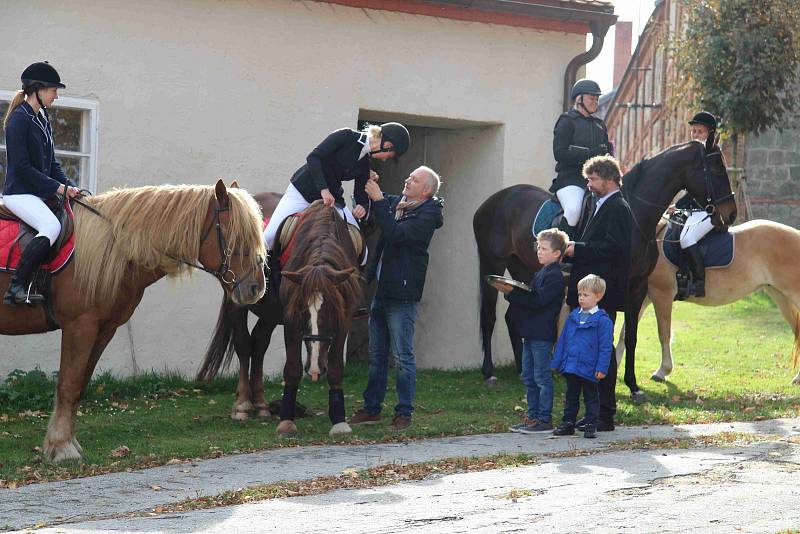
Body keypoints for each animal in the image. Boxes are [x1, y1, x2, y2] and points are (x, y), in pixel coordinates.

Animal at [0, 181, 268, 464]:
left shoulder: (103, 329)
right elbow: (68, 385)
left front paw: (68, 443)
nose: (256, 288)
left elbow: (79, 386)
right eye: (235, 235)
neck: (115, 244)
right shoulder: (80, 326)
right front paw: (61, 447)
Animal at [200, 199, 362, 438]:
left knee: (259, 344)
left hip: (270, 314)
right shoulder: (291, 321)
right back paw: (243, 405)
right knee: (244, 345)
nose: (315, 370)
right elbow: (292, 368)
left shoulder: (344, 320)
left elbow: (335, 368)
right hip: (237, 301)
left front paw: (339, 421)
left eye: (331, 311)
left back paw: (261, 405)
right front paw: (286, 421)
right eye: (302, 311)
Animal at [620, 220, 800, 388]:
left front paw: (662, 371)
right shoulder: (643, 297)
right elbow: (624, 334)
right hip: (780, 296)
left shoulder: (661, 295)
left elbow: (663, 334)